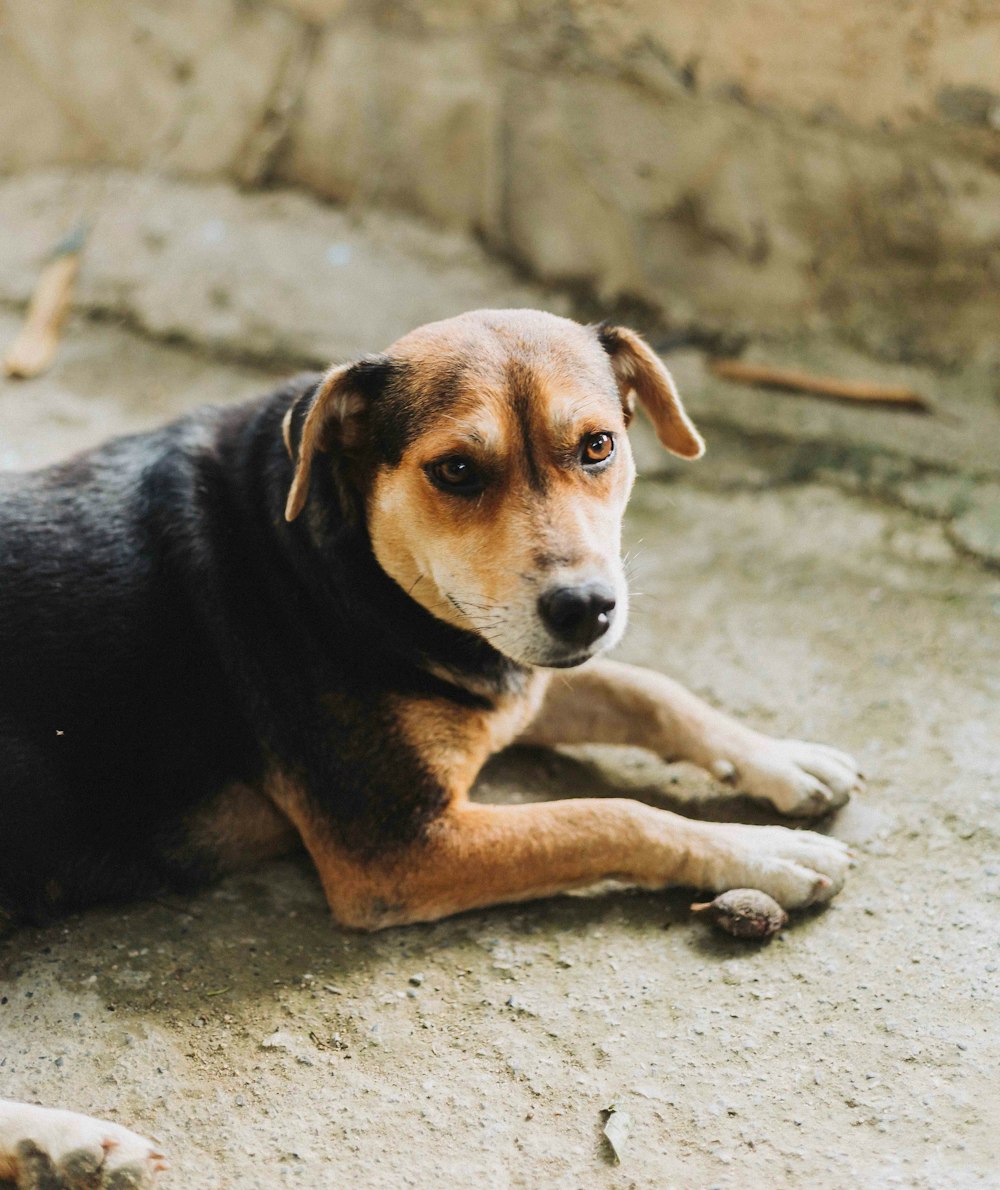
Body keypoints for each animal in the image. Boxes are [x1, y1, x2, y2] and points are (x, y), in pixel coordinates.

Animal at [0, 311, 857, 1185]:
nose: (587, 608)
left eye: (597, 446)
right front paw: (762, 851)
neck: (341, 559)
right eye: (456, 470)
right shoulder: (399, 846)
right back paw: (63, 1144)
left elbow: (650, 693)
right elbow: (609, 815)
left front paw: (780, 759)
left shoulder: (509, 681)